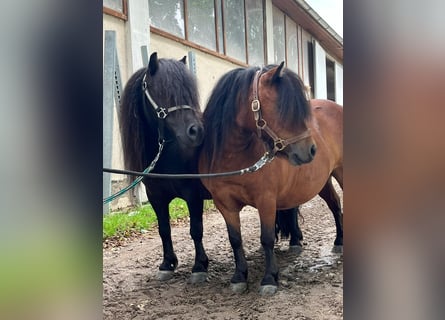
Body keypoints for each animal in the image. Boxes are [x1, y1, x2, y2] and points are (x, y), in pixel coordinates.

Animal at [119, 52, 210, 282]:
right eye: (165, 92)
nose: (196, 132)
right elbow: (164, 229)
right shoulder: (156, 198)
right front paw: (168, 264)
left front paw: (199, 266)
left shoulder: (193, 194)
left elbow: (196, 229)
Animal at [199, 63, 344, 296]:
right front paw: (239, 276)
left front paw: (269, 278)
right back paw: (339, 240)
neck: (234, 157)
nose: (311, 150)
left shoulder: (266, 200)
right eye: (283, 109)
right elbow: (235, 240)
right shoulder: (224, 204)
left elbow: (266, 238)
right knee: (335, 204)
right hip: (323, 181)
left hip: (341, 171)